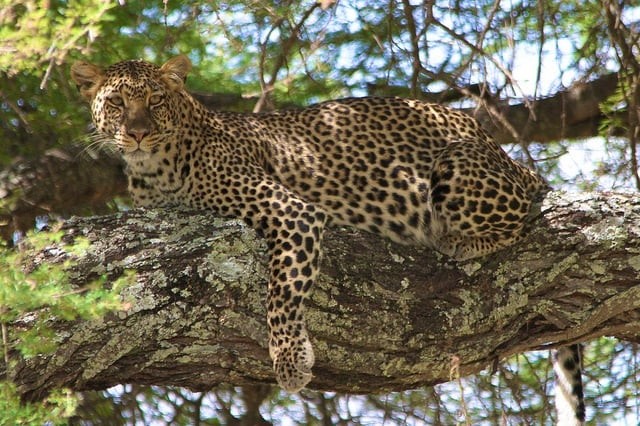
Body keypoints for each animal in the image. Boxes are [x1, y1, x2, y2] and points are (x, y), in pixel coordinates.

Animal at [71, 54, 584, 422]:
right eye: (116, 104)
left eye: (156, 100)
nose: (138, 133)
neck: (153, 170)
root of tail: (505, 151)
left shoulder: (292, 211)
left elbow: (282, 291)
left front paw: (290, 360)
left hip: (456, 163)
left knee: (518, 213)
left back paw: (458, 240)